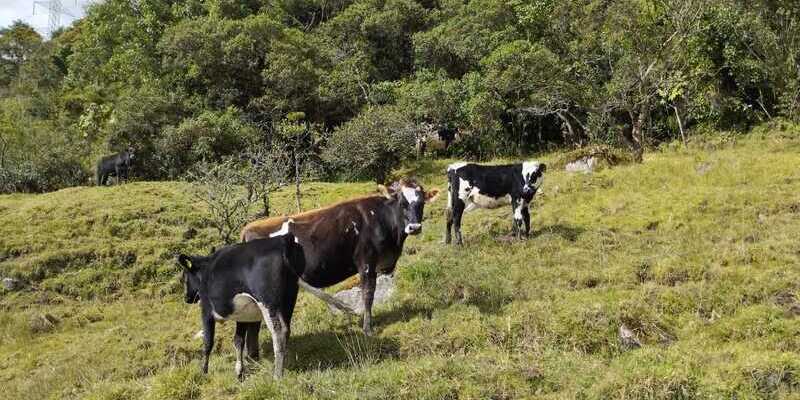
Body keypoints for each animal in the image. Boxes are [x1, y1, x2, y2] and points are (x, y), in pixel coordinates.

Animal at [177, 234, 304, 382]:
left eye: (184, 278)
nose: (186, 298)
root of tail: (282, 240)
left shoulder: (206, 311)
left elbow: (208, 342)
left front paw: (204, 371)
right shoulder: (244, 315)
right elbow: (238, 340)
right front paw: (239, 371)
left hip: (269, 302)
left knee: (279, 332)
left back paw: (277, 375)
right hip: (289, 299)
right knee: (286, 330)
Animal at [244, 180, 444, 336]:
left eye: (421, 203)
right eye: (402, 203)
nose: (414, 227)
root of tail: (248, 228)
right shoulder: (366, 262)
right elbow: (368, 294)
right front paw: (368, 329)